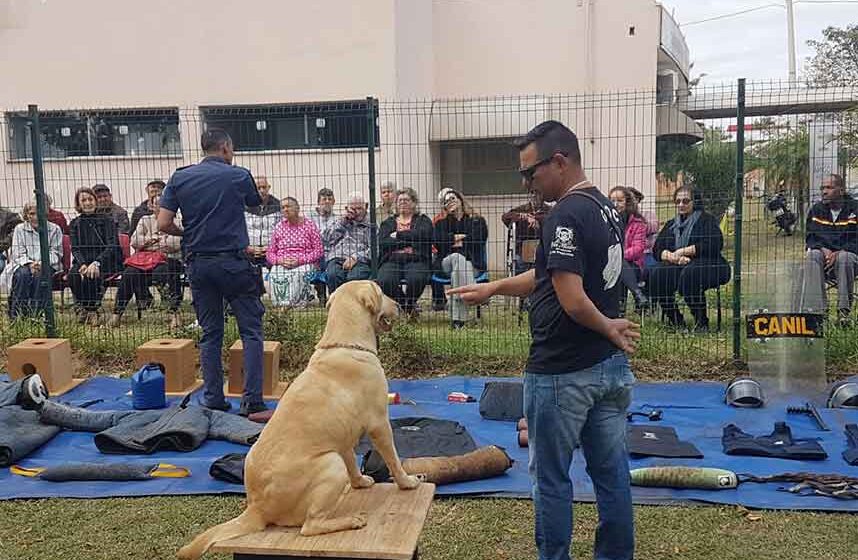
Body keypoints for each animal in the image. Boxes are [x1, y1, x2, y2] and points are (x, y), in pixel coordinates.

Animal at [176, 282, 418, 556]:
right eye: (380, 291)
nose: (399, 305)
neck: (344, 344)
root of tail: (257, 508)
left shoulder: (343, 439)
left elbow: (353, 464)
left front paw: (359, 482)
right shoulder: (379, 424)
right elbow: (394, 460)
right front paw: (407, 482)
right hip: (331, 464)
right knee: (310, 526)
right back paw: (350, 520)